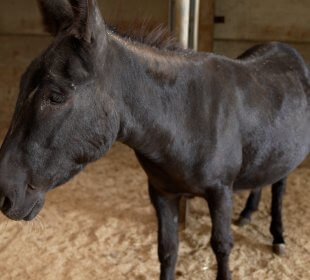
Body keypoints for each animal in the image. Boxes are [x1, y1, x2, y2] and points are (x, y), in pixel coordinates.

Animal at [0, 0, 310, 280]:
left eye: (55, 96)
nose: (3, 195)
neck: (185, 117)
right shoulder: (162, 193)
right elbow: (167, 250)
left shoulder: (221, 192)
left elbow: (222, 247)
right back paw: (247, 214)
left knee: (280, 186)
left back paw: (278, 236)